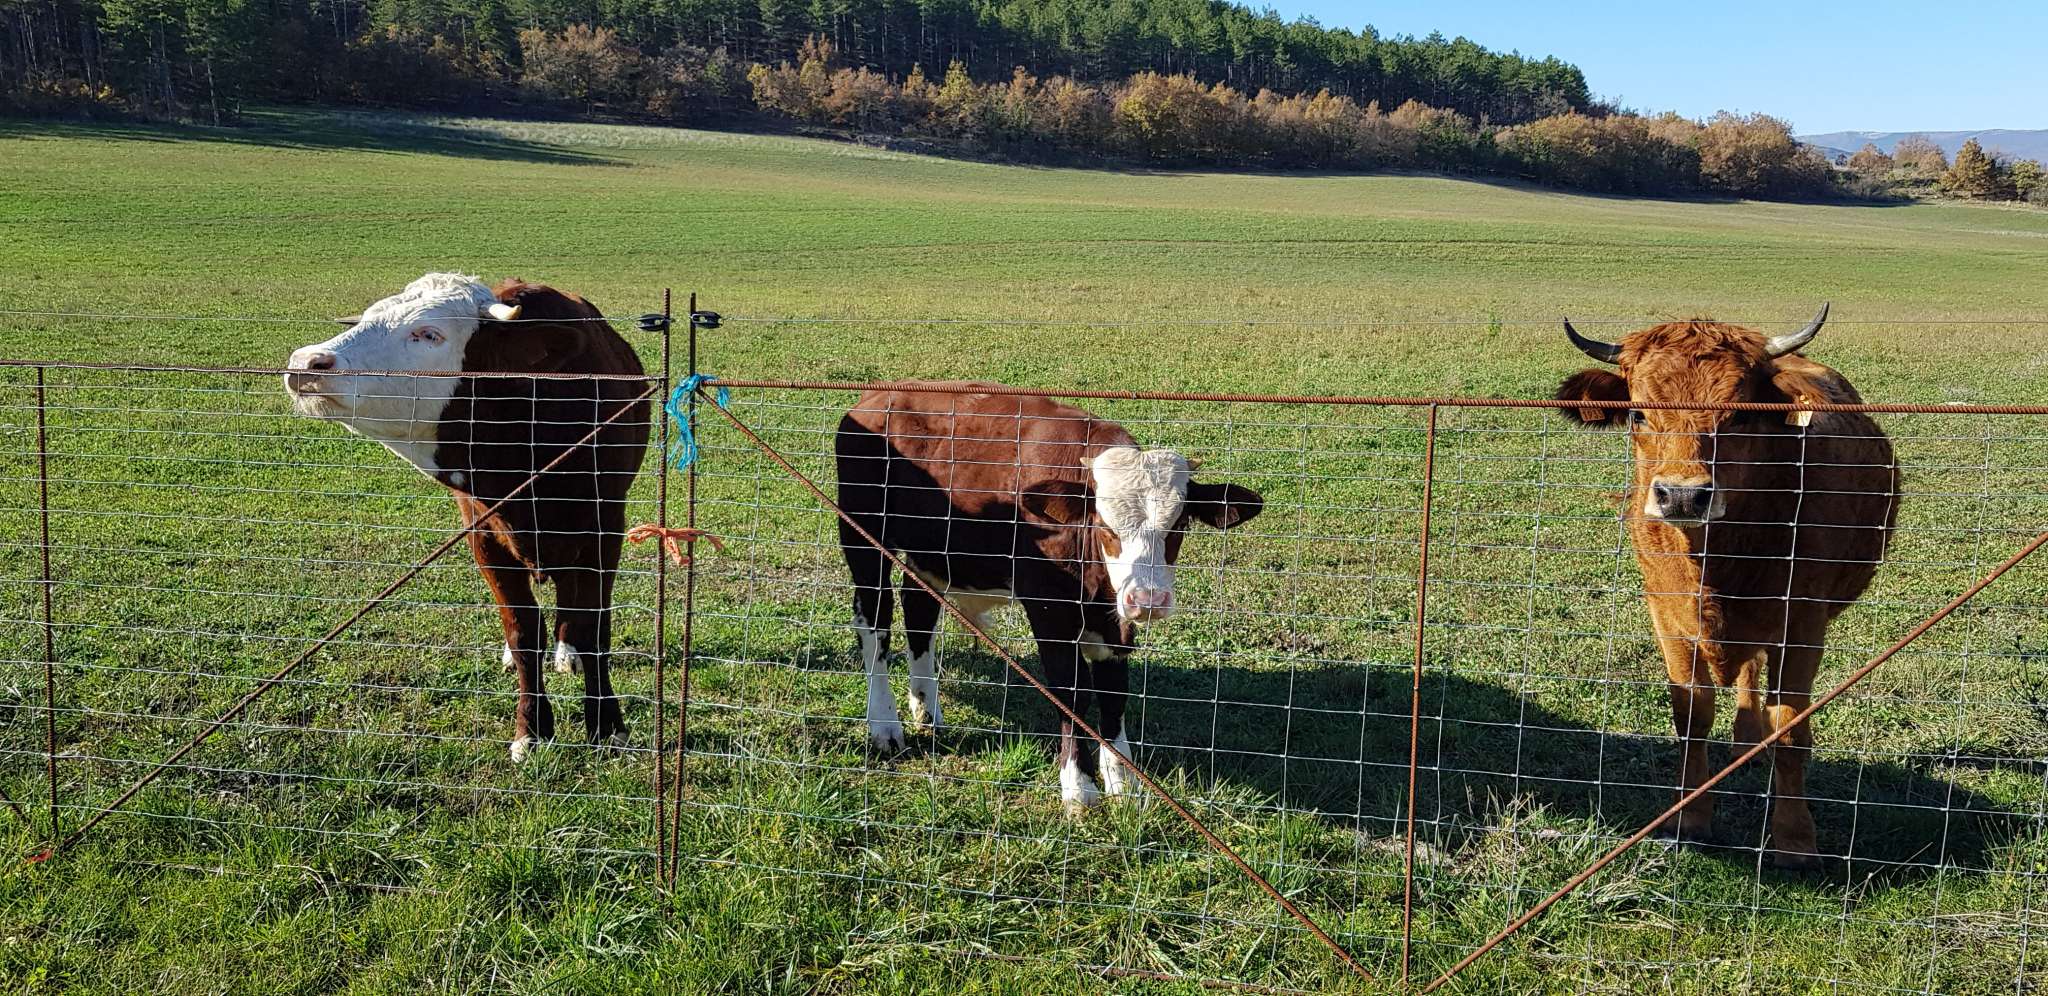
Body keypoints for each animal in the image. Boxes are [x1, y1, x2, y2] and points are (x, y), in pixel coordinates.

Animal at [283, 273, 650, 762]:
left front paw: (607, 726)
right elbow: (522, 632)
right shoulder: (485, 537)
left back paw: (566, 648)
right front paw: (532, 730)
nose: (306, 362)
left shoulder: (604, 528)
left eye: (429, 334)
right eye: (367, 317)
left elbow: (594, 630)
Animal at [835, 383, 1264, 809]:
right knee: (875, 623)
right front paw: (1079, 784)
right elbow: (1072, 692)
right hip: (864, 539)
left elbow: (1114, 693)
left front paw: (1124, 780)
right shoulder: (1049, 611)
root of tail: (877, 397)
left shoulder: (1115, 624)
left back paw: (926, 708)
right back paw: (884, 724)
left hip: (934, 553)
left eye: (1180, 524)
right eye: (1104, 525)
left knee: (919, 609)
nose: (1147, 600)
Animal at [1554, 305, 1899, 868]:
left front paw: (1795, 840)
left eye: (1739, 414)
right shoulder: (1668, 617)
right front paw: (1691, 818)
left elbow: (1791, 726)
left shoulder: (1803, 624)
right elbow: (1691, 715)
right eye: (1638, 414)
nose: (1681, 496)